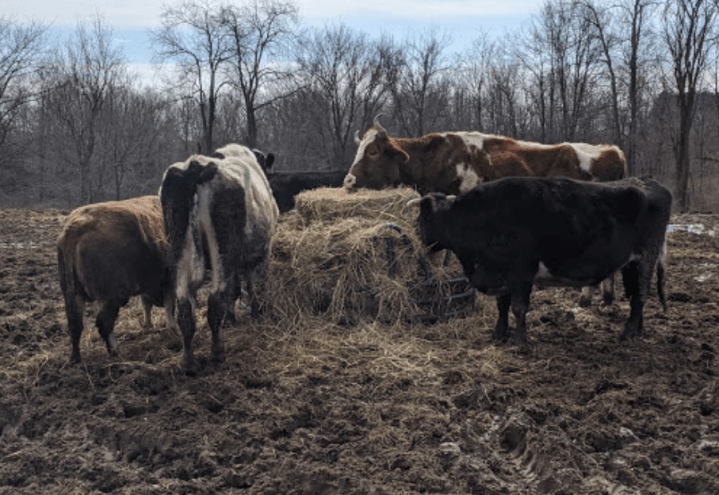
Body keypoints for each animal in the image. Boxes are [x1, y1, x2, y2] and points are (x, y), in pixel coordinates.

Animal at [57, 195, 176, 364]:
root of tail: (75, 227)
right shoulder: (170, 280)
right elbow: (169, 305)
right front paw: (171, 329)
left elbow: (147, 304)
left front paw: (148, 325)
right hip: (114, 296)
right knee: (103, 323)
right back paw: (114, 351)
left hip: (74, 295)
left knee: (75, 324)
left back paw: (75, 358)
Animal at [160, 141, 278, 374]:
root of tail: (195, 167)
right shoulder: (260, 254)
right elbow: (253, 288)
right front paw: (256, 316)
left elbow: (234, 289)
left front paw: (232, 319)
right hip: (222, 251)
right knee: (215, 301)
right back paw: (217, 353)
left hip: (180, 247)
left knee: (185, 309)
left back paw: (188, 362)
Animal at [346, 120, 628, 306]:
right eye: (358, 150)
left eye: (373, 152)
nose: (347, 181)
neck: (438, 160)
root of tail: (611, 150)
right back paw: (606, 298)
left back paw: (588, 298)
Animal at [416, 176, 676, 346]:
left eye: (422, 218)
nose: (419, 240)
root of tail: (649, 183)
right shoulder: (501, 273)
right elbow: (502, 306)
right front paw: (499, 334)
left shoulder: (521, 273)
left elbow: (519, 308)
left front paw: (520, 342)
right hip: (631, 263)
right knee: (636, 295)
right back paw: (637, 329)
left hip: (646, 257)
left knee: (640, 295)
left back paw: (628, 333)